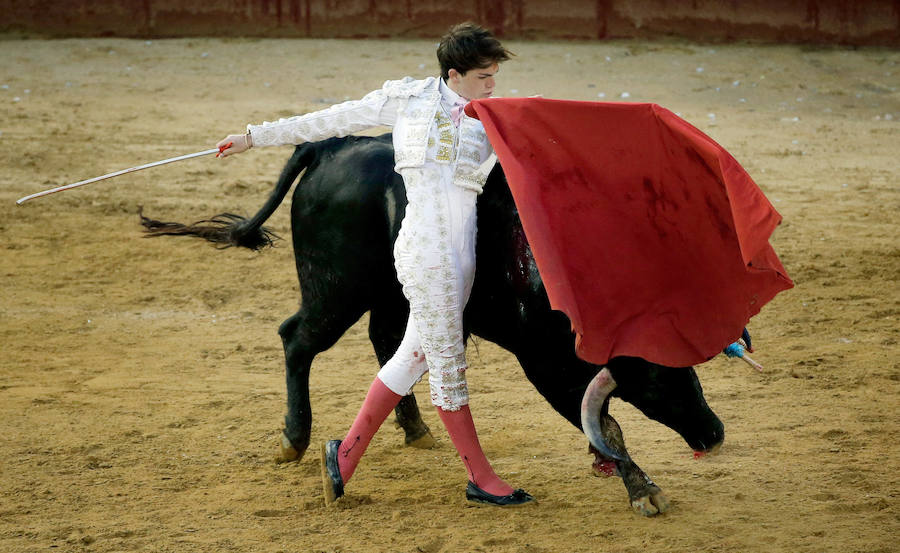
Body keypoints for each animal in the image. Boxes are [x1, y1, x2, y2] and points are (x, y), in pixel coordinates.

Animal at [144, 132, 728, 516]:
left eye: (695, 369)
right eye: (659, 374)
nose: (714, 433)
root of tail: (330, 146)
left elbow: (598, 413)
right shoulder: (544, 360)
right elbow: (605, 421)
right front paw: (642, 489)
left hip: (389, 297)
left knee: (385, 345)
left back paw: (414, 429)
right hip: (337, 290)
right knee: (297, 339)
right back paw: (296, 439)